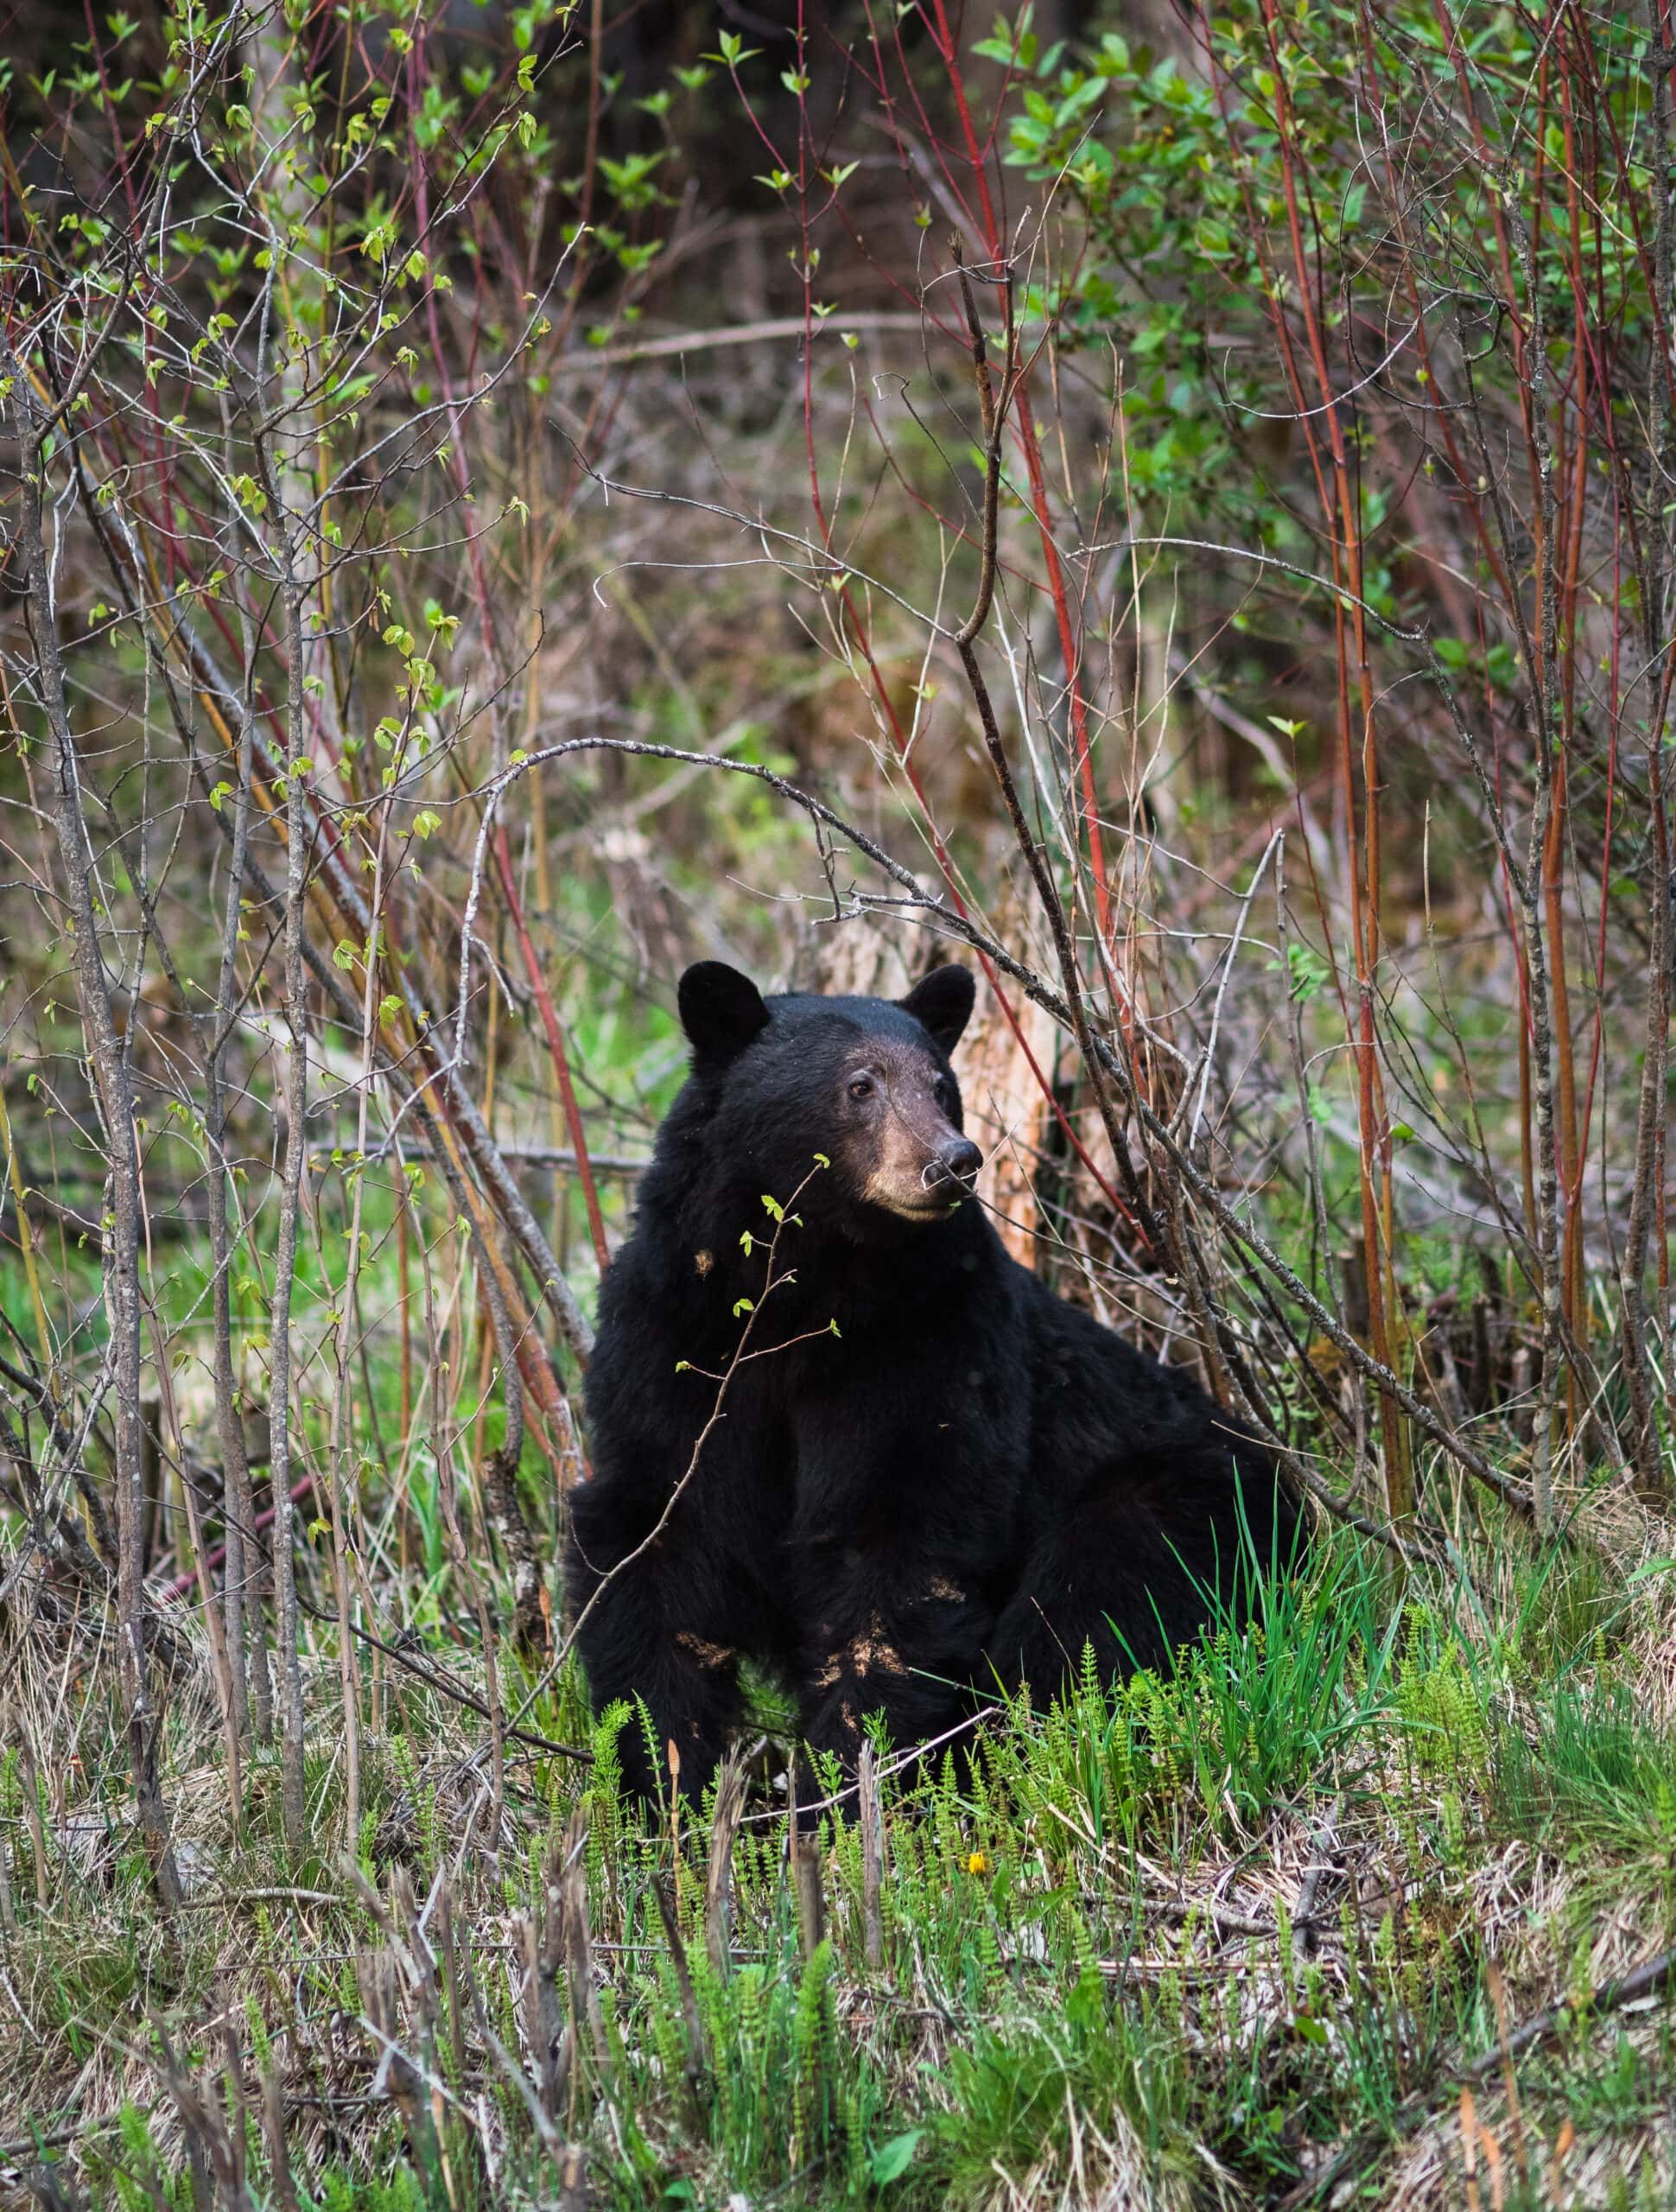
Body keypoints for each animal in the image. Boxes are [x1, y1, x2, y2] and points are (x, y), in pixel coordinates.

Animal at [570, 960, 1309, 1804]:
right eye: (860, 1085)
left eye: (940, 1085)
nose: (954, 1160)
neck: (802, 1296)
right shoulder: (673, 1337)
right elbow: (655, 1539)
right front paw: (662, 1785)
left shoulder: (930, 1339)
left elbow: (901, 1539)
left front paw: (845, 1788)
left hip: (1187, 1501)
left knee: (1092, 1604)